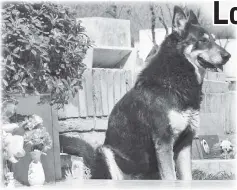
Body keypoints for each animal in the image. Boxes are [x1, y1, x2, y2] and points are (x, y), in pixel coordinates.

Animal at [91, 5, 231, 180]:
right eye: (203, 40)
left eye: (213, 39)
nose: (228, 56)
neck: (177, 78)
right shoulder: (164, 140)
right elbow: (171, 177)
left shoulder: (186, 141)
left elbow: (187, 178)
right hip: (104, 152)